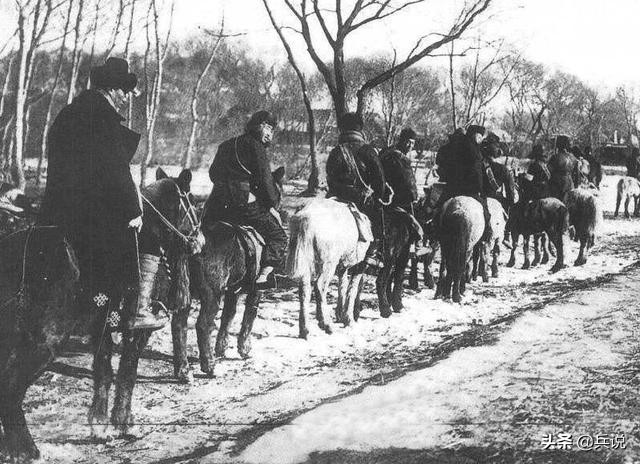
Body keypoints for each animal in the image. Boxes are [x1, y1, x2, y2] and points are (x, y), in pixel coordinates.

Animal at [0, 168, 200, 460]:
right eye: (193, 204)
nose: (199, 242)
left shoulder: (101, 330)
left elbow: (104, 373)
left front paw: (100, 427)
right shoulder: (137, 332)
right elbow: (127, 374)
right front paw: (125, 424)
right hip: (42, 343)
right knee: (11, 390)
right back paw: (28, 451)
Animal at [172, 167, 288, 380]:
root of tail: (191, 242)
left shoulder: (233, 290)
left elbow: (228, 316)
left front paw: (221, 348)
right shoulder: (255, 291)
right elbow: (249, 316)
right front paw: (244, 349)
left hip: (185, 294)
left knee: (179, 324)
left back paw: (183, 370)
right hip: (212, 295)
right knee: (202, 325)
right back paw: (209, 366)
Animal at [286, 198, 370, 338]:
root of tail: (305, 217)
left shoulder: (343, 265)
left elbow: (343, 286)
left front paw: (341, 315)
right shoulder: (359, 264)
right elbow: (352, 289)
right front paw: (348, 319)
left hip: (306, 260)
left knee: (304, 289)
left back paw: (305, 330)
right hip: (328, 263)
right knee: (320, 286)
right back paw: (325, 324)